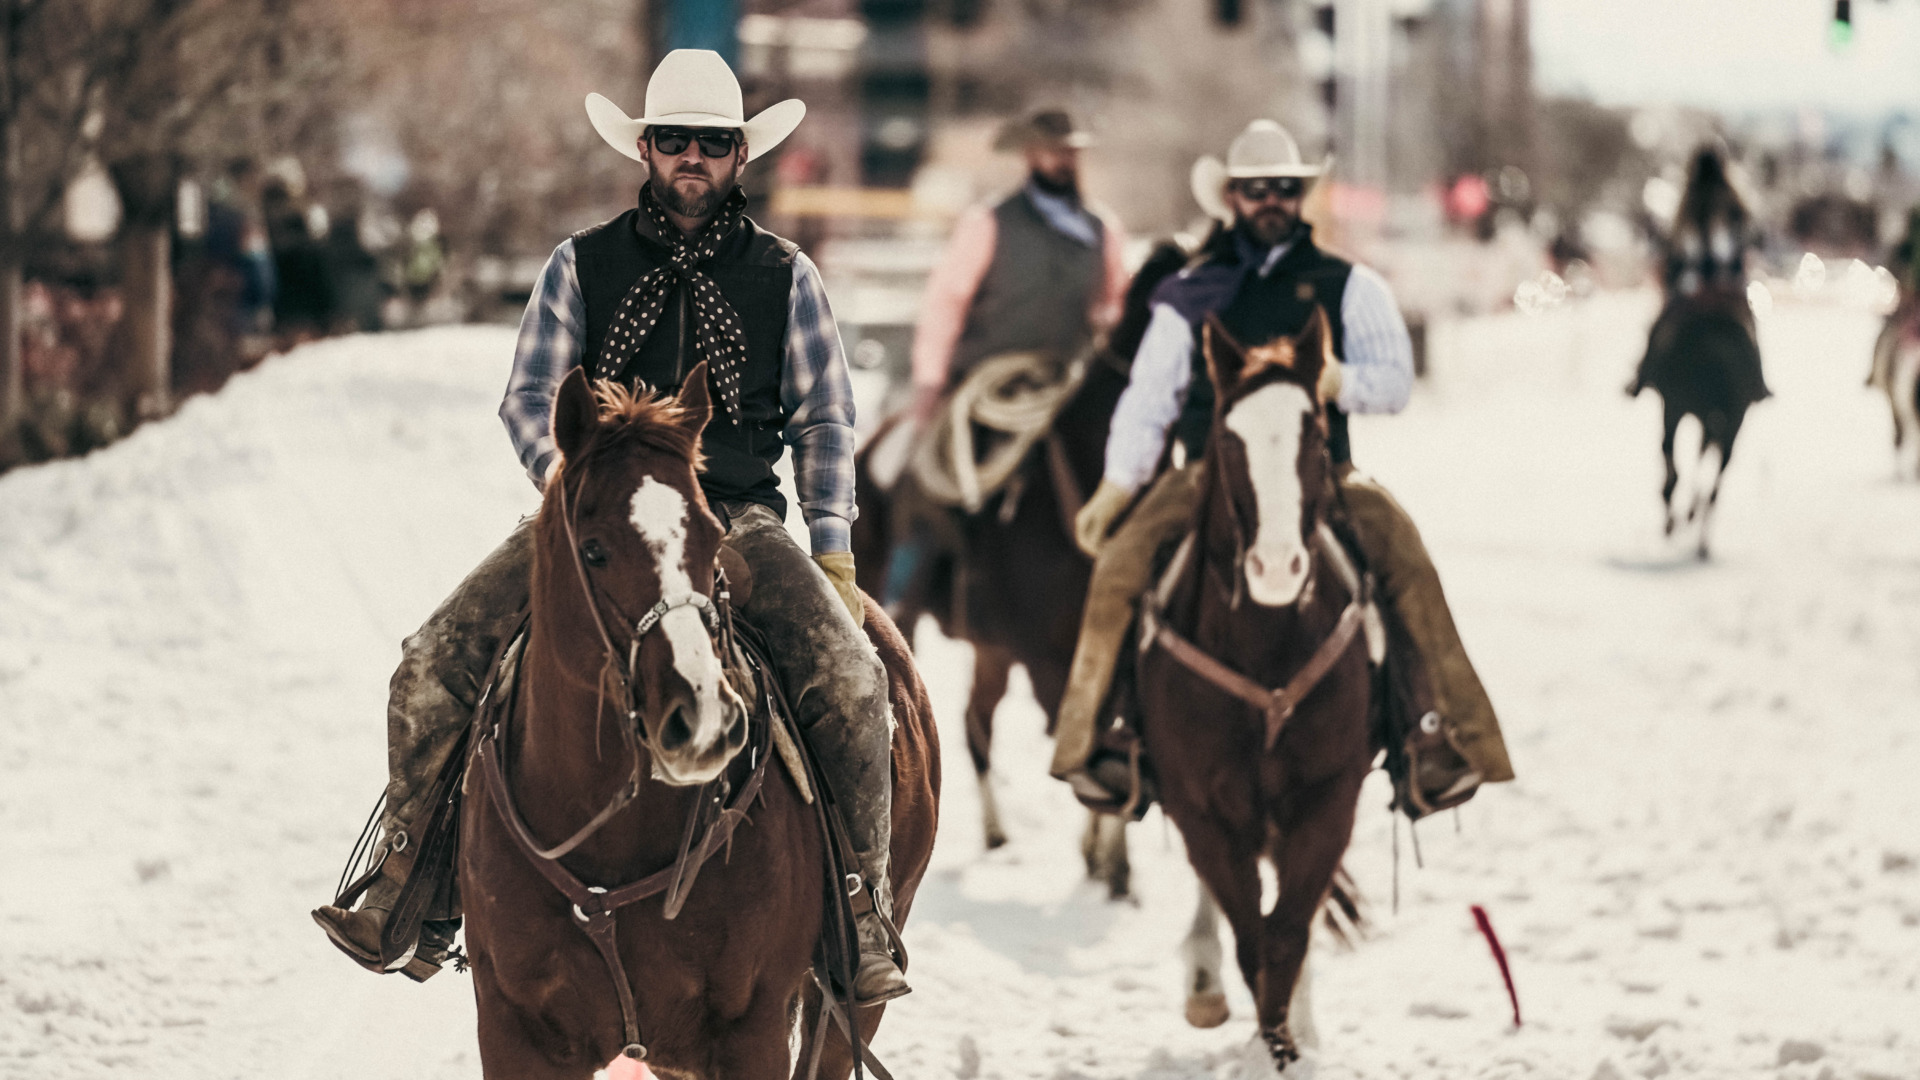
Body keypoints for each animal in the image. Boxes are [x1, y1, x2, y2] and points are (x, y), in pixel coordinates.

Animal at [464, 363, 944, 1076]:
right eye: (594, 549)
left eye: (713, 539)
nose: (705, 719)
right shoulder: (511, 1029)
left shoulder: (752, 1030)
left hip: (850, 998)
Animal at [1128, 311, 1374, 1068]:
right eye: (1228, 439)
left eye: (1315, 435)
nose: (1275, 567)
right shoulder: (1203, 811)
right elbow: (1252, 936)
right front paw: (1267, 1045)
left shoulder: (1328, 797)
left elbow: (1288, 932)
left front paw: (1286, 1050)